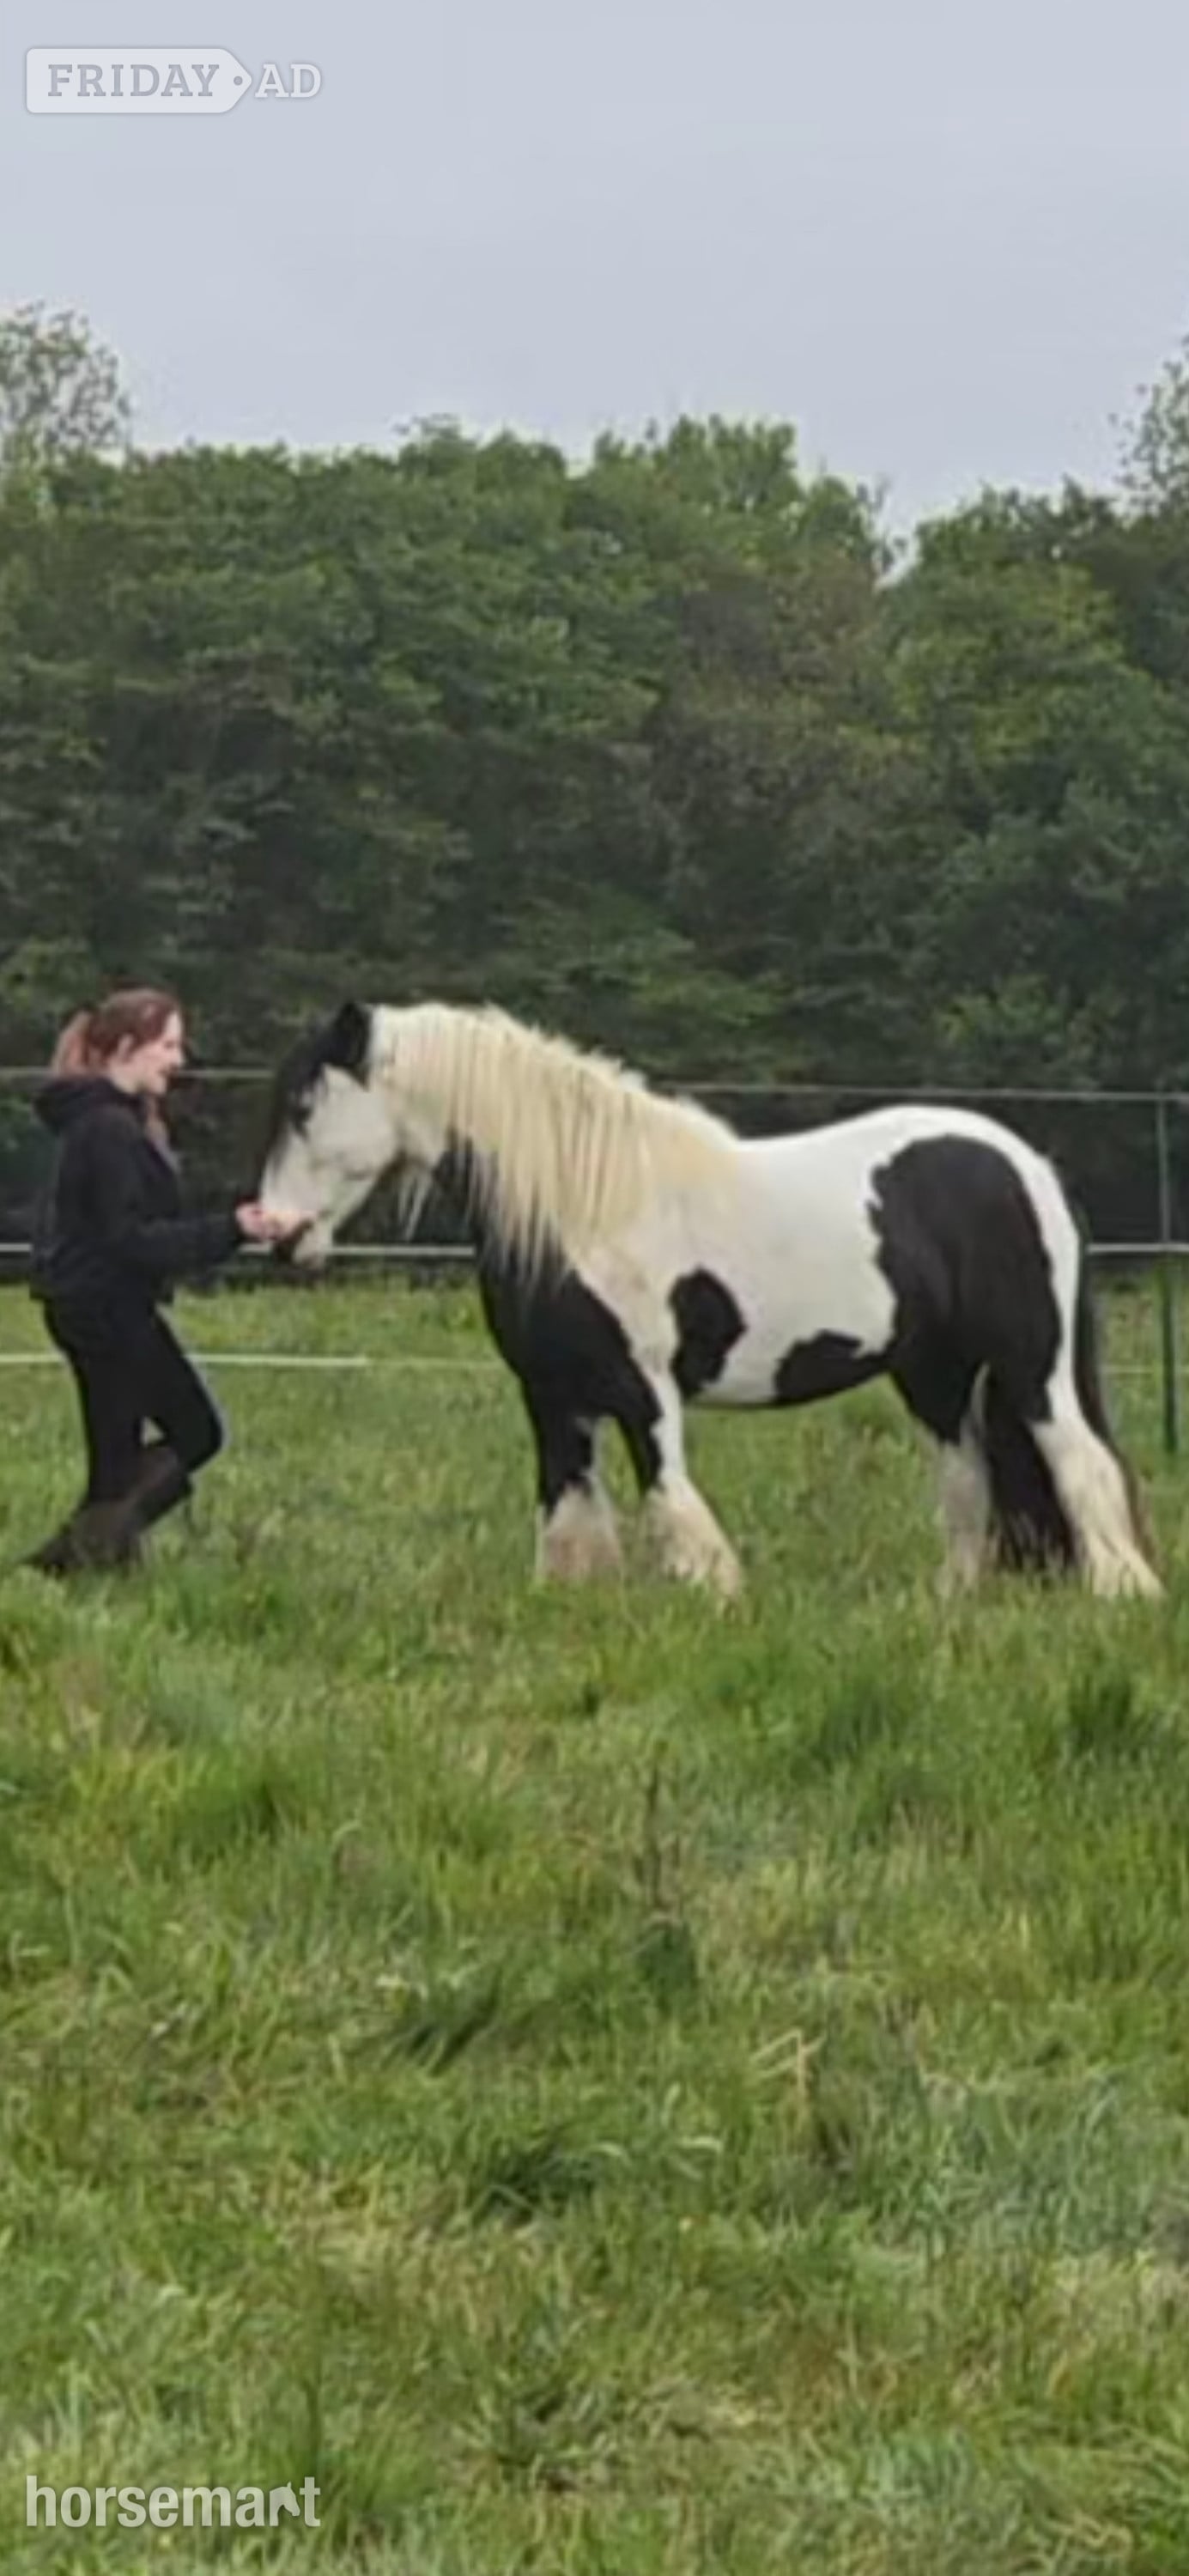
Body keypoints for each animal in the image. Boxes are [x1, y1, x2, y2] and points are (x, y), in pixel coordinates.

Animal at [255, 998, 1162, 1604]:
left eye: (303, 1108)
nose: (276, 1232)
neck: (584, 1208)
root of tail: (1025, 1163)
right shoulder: (551, 1395)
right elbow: (567, 1514)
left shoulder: (642, 1391)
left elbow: (673, 1501)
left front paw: (715, 1597)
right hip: (933, 1373)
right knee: (968, 1479)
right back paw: (953, 1603)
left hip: (1030, 1364)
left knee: (1079, 1464)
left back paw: (1120, 1596)